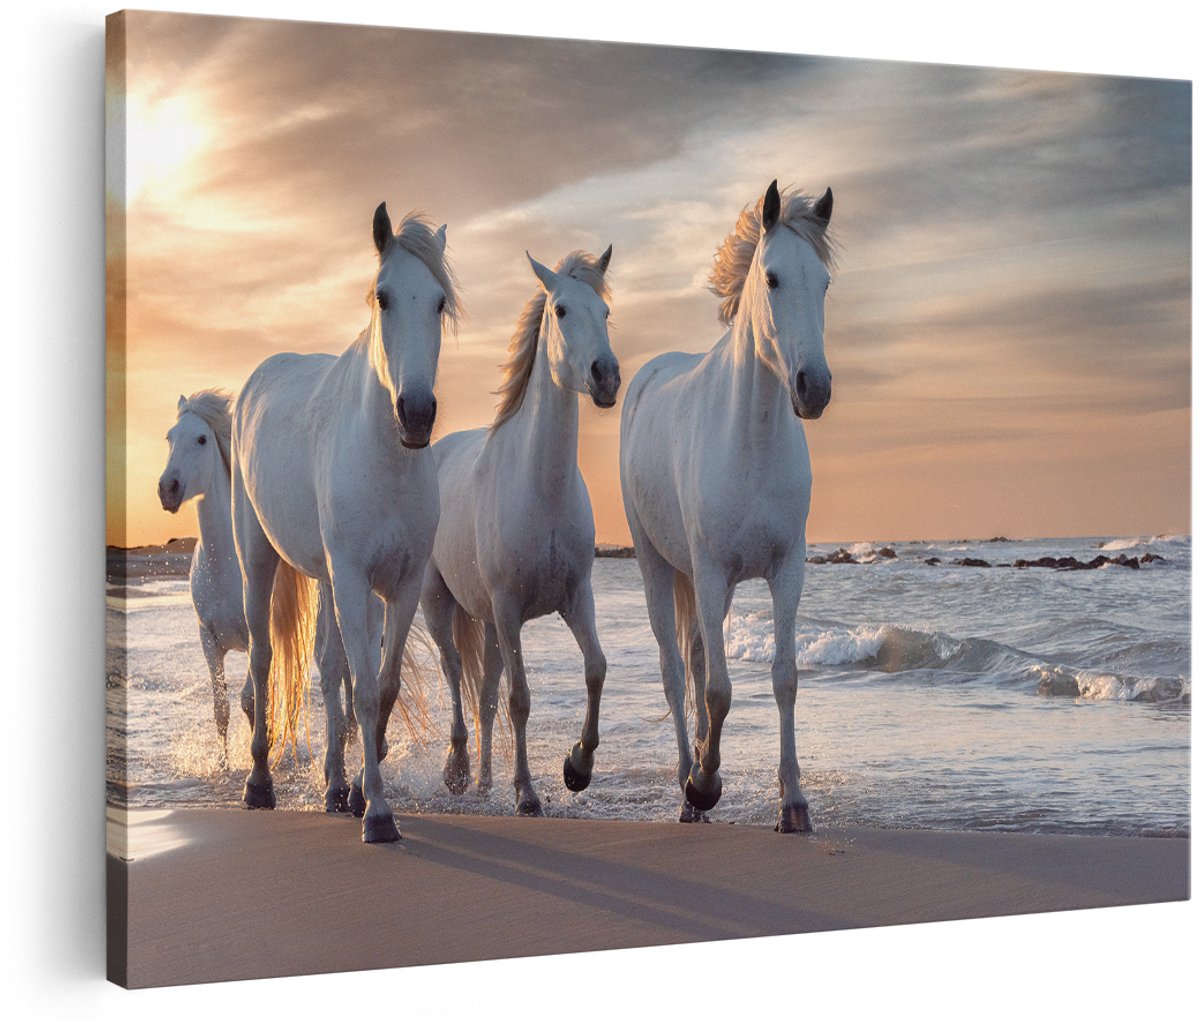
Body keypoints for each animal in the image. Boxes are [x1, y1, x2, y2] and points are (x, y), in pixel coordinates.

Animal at [157, 390, 353, 767]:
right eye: (169, 438)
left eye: (201, 439)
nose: (167, 489)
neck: (223, 567)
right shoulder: (208, 640)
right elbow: (221, 708)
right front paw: (224, 765)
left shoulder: (253, 637)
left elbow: (251, 700)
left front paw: (259, 757)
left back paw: (350, 736)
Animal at [231, 202, 458, 842]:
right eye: (383, 296)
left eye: (439, 302)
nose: (417, 413)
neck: (386, 460)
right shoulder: (355, 580)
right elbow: (362, 688)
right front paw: (378, 814)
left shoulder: (399, 585)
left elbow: (380, 686)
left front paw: (359, 791)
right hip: (258, 559)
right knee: (262, 659)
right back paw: (259, 784)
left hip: (328, 580)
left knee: (328, 669)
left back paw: (334, 785)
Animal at [420, 246, 619, 816]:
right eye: (561, 310)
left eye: (605, 312)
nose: (606, 376)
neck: (541, 488)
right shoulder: (509, 609)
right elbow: (520, 699)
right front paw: (527, 792)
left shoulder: (576, 597)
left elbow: (595, 668)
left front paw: (578, 767)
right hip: (441, 605)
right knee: (455, 675)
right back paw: (459, 770)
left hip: (487, 623)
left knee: (483, 696)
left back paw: (485, 781)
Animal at [619, 180, 835, 833]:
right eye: (772, 278)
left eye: (824, 282)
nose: (814, 388)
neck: (752, 440)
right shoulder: (712, 572)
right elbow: (718, 691)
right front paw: (706, 782)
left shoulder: (785, 570)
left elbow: (784, 678)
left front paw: (794, 802)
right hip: (659, 566)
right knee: (674, 671)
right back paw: (688, 789)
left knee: (693, 661)